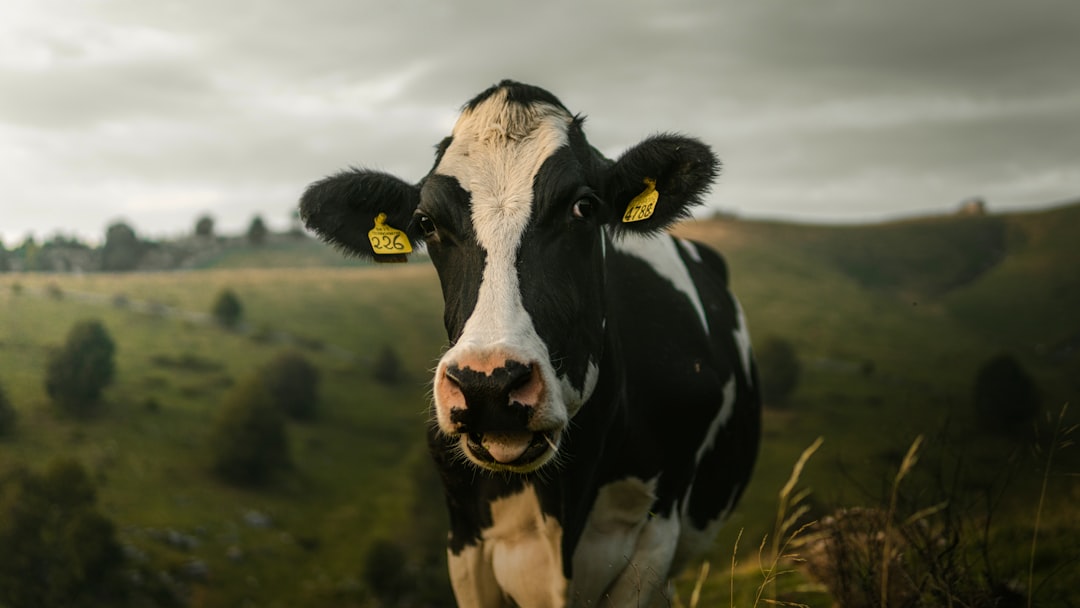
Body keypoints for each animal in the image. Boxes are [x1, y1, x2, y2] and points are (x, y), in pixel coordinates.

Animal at [300, 82, 764, 608]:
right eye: (426, 223)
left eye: (584, 207)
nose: (488, 383)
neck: (564, 503)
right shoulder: (466, 543)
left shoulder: (654, 538)